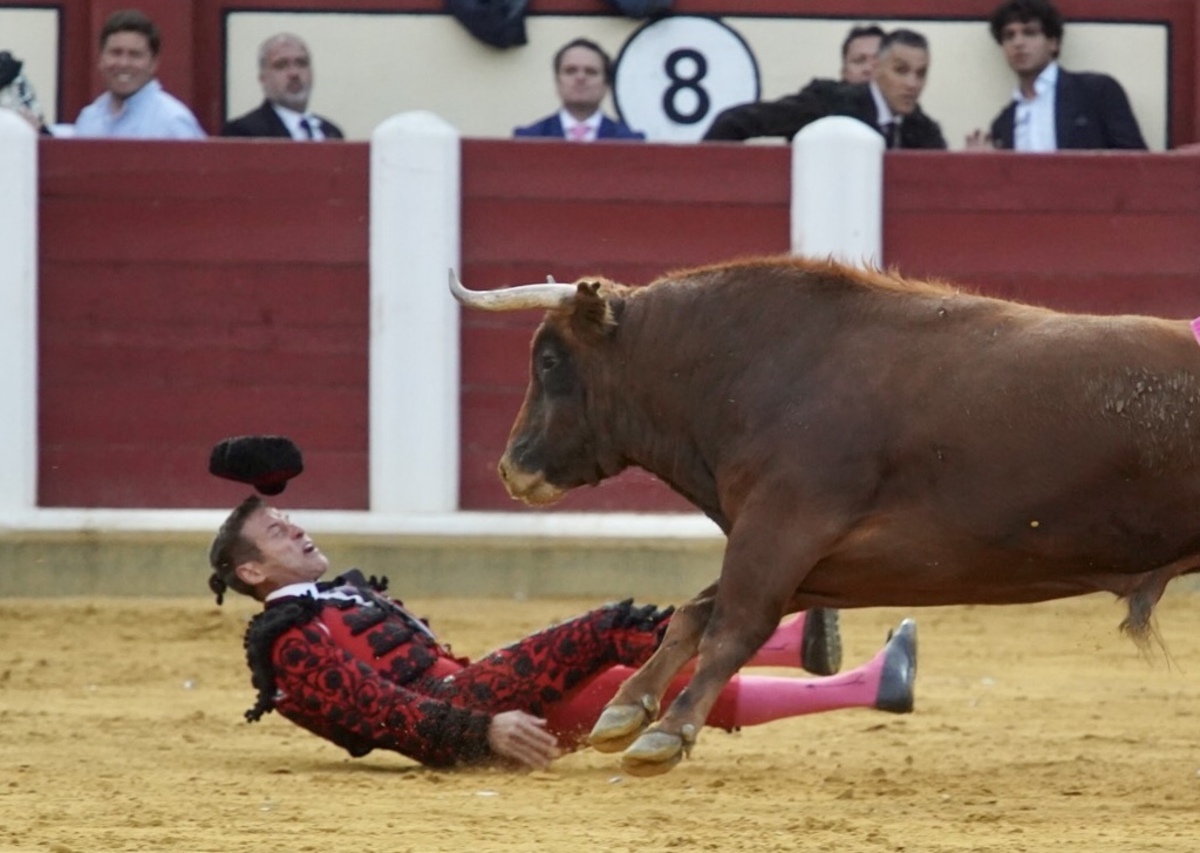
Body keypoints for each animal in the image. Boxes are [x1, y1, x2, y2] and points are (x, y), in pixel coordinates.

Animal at [446, 256, 1200, 777]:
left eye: (550, 360)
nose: (511, 467)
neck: (755, 372)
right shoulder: (821, 559)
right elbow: (695, 614)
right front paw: (625, 709)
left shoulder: (781, 529)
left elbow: (731, 625)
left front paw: (664, 733)